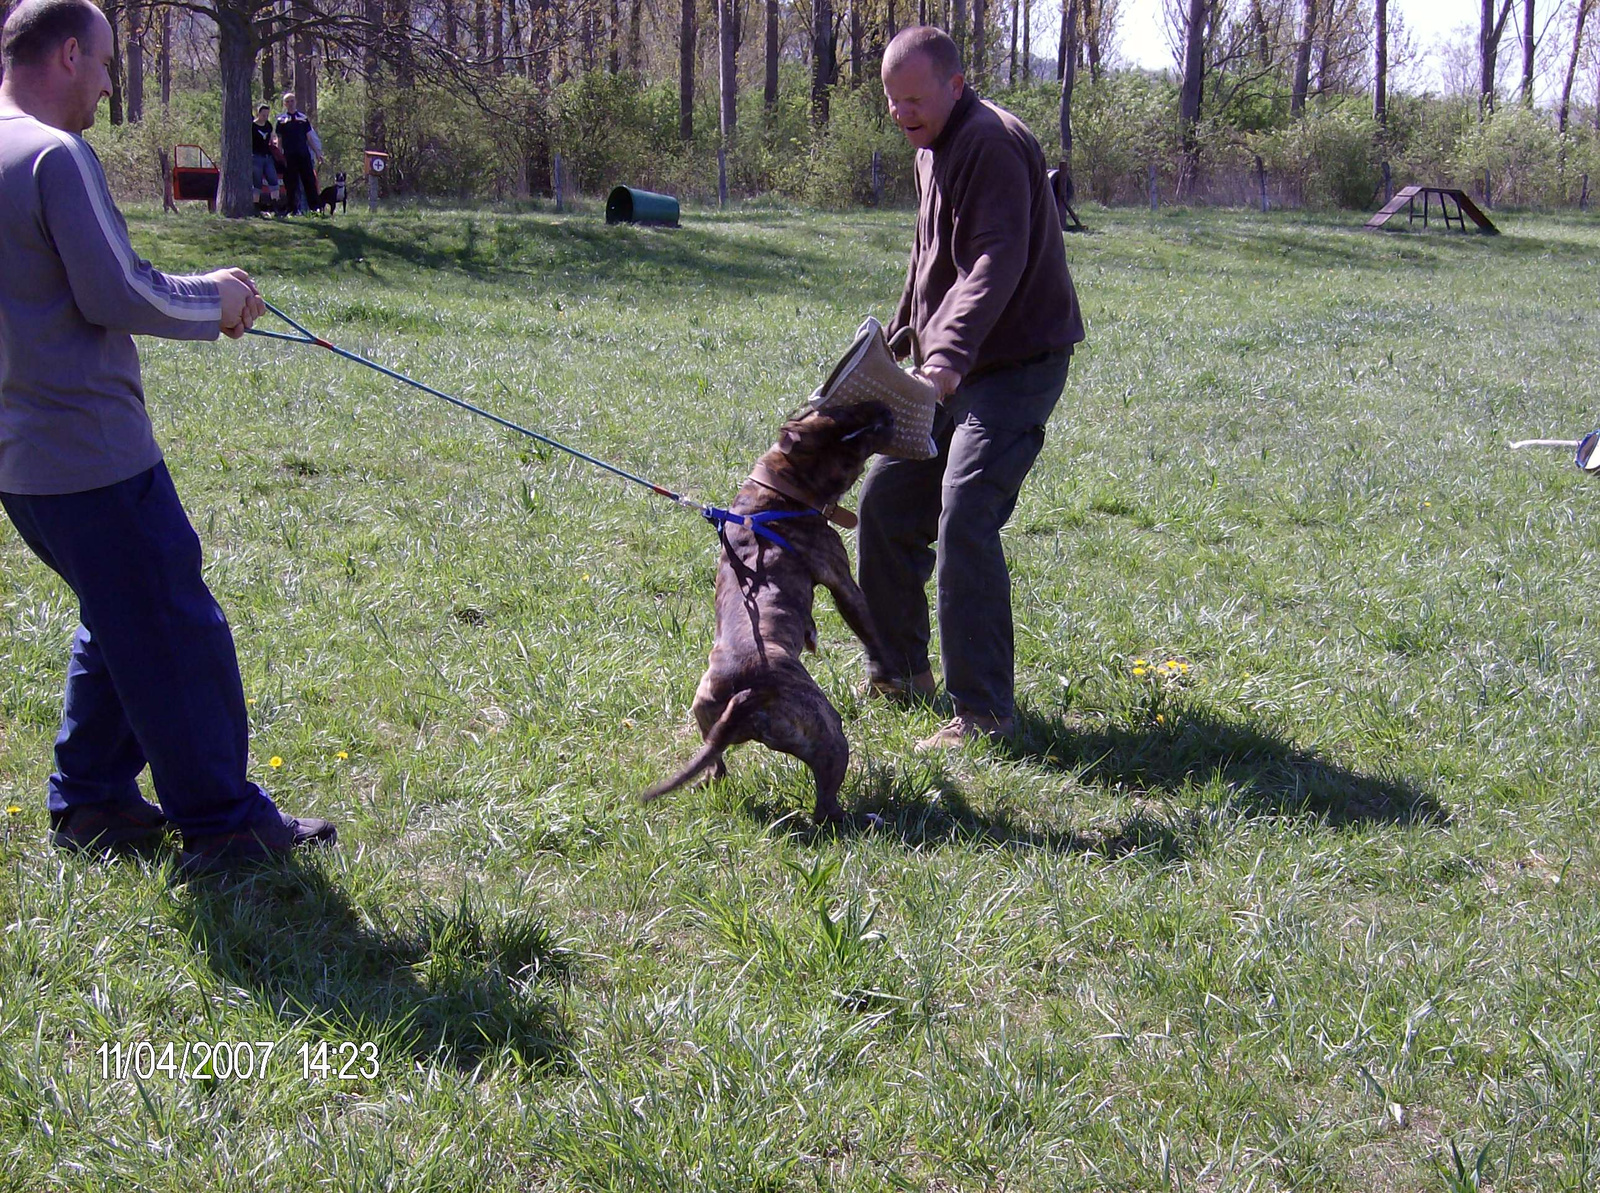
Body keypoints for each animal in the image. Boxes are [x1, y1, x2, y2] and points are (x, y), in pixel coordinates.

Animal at [646, 399, 902, 818]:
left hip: (706, 716)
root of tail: (748, 695)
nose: (886, 410)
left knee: (716, 769)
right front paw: (889, 669)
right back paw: (867, 813)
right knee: (826, 809)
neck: (774, 493)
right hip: (829, 732)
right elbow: (872, 633)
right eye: (851, 432)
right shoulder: (842, 582)